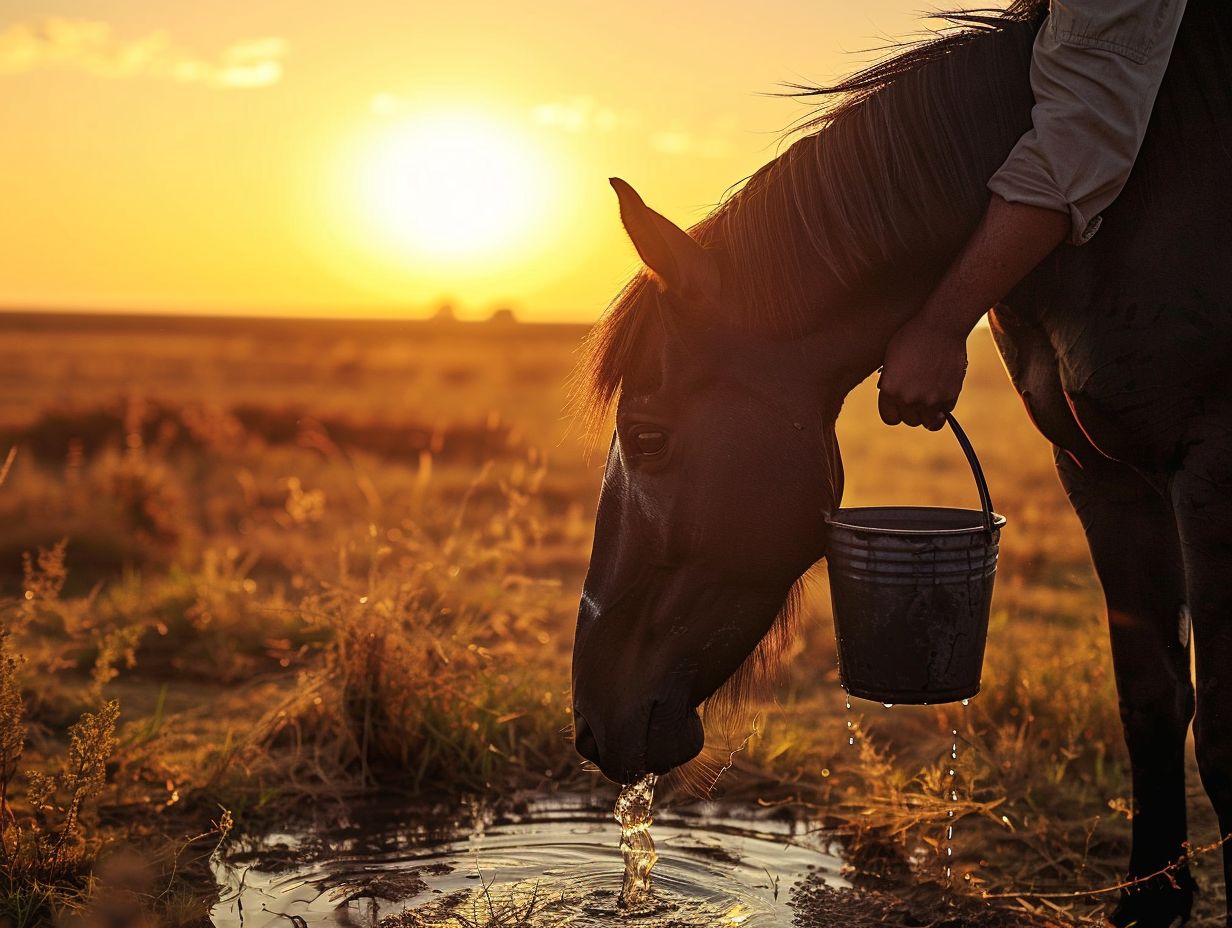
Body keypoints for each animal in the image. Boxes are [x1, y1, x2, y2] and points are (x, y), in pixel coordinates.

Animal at [571, 1, 1232, 921]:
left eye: (649, 438)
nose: (591, 723)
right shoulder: (1101, 475)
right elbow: (1152, 697)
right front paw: (1150, 903)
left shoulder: (1210, 473)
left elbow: (1230, 742)